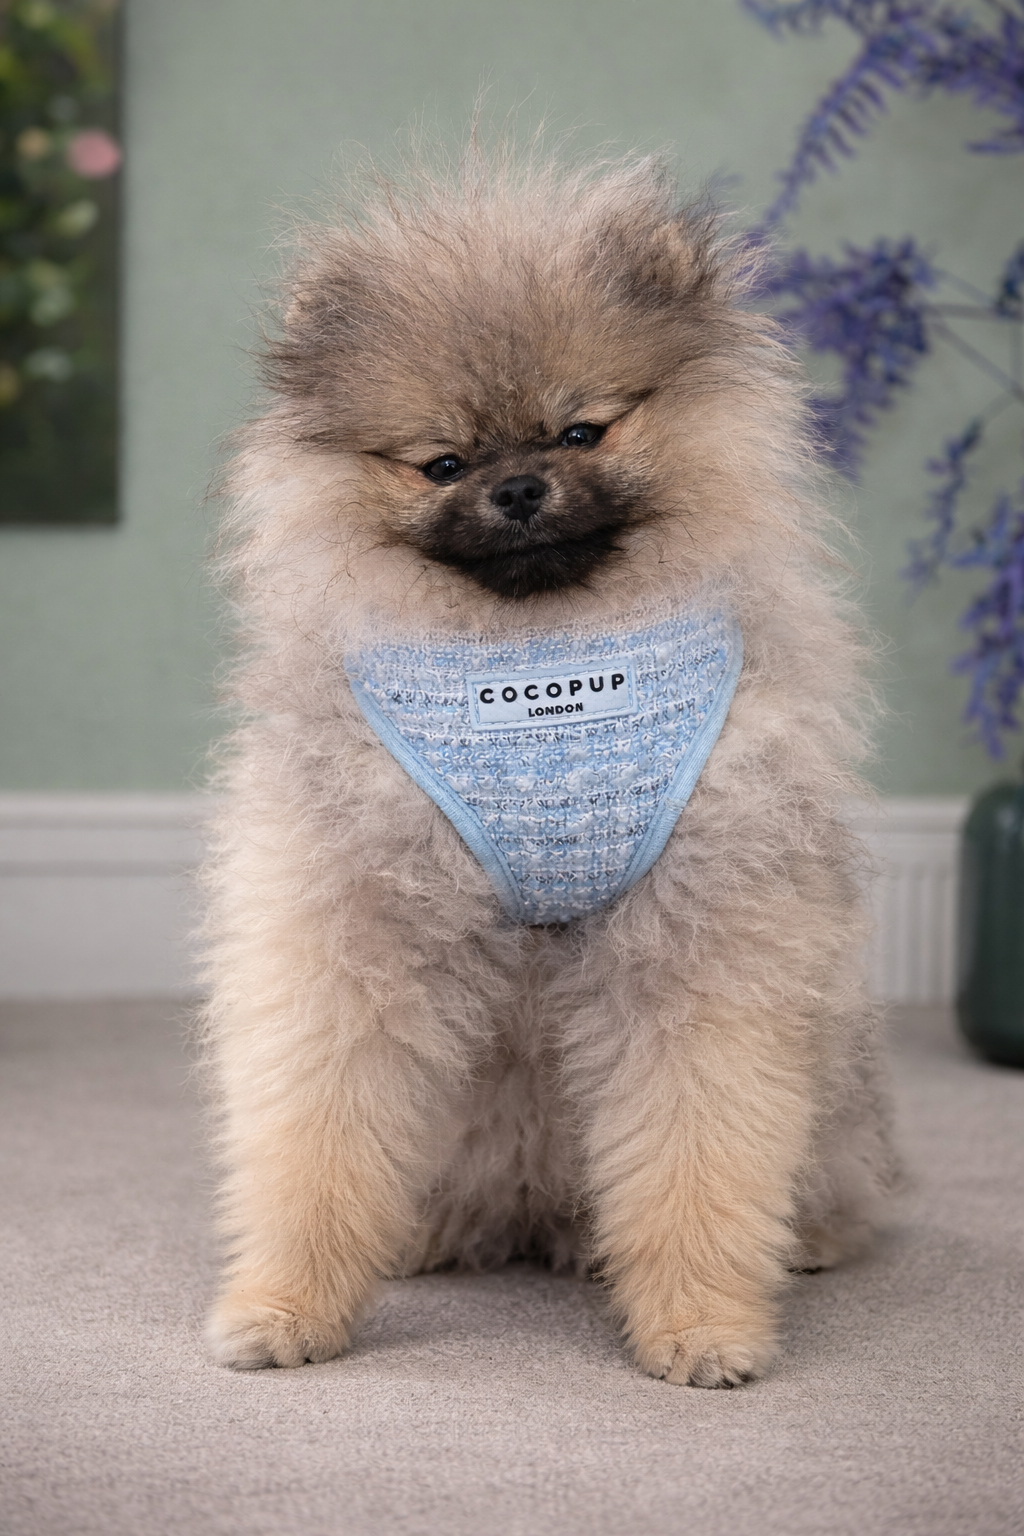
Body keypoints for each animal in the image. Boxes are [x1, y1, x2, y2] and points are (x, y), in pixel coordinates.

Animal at [202, 149, 892, 1388]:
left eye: (581, 433)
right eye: (441, 462)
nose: (517, 487)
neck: (539, 662)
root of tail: (527, 1210)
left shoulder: (703, 936)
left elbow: (703, 1140)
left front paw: (701, 1325)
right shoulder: (347, 931)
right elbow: (316, 1130)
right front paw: (284, 1306)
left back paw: (808, 1235)